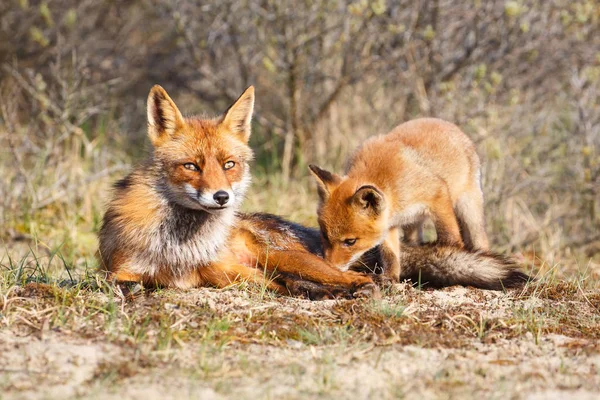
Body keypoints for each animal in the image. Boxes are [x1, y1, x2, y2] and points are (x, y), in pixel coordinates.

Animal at [310, 119, 492, 282]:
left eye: (350, 241)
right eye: (325, 235)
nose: (329, 267)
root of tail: (450, 125)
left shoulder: (438, 195)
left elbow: (450, 237)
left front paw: (453, 258)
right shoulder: (388, 224)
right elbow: (390, 255)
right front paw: (390, 278)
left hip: (469, 210)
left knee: (480, 239)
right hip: (413, 225)